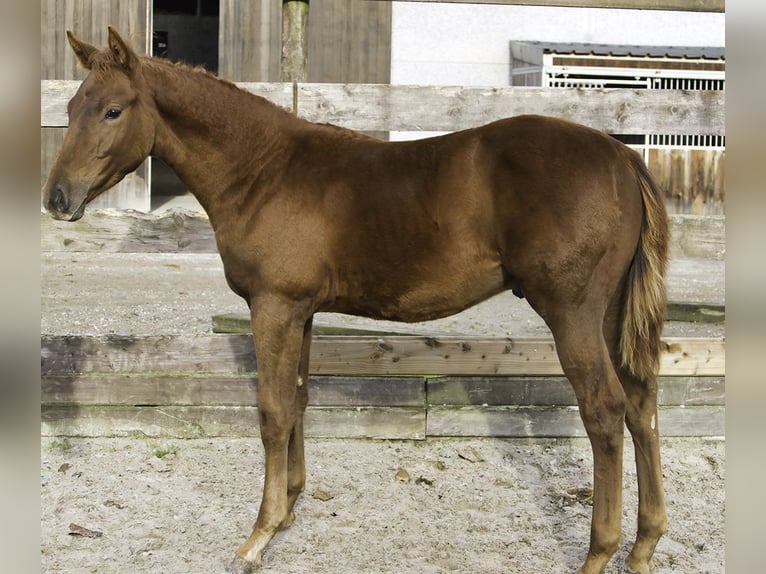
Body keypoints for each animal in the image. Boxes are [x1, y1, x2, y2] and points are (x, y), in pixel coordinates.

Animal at [42, 30, 668, 574]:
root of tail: (621, 157)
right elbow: (297, 399)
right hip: (610, 313)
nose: (57, 198)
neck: (264, 170)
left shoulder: (273, 307)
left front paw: (258, 537)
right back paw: (644, 545)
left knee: (605, 411)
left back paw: (599, 553)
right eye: (71, 107)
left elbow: (272, 412)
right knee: (641, 403)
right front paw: (289, 509)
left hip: (572, 313)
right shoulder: (301, 312)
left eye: (113, 111)